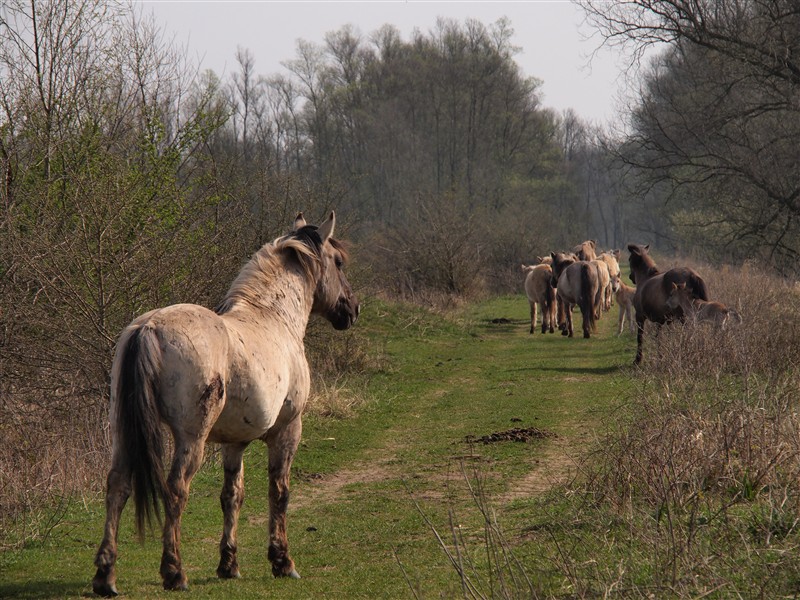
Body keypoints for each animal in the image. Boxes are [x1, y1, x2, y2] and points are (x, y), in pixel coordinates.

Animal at [90, 211, 360, 596]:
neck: (273, 318)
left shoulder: (235, 442)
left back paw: (105, 576)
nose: (352, 309)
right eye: (338, 262)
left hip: (123, 433)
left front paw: (228, 565)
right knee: (176, 489)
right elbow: (279, 492)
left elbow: (232, 496)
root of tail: (150, 328)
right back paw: (174, 573)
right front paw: (282, 562)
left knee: (117, 487)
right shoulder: (287, 430)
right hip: (191, 439)